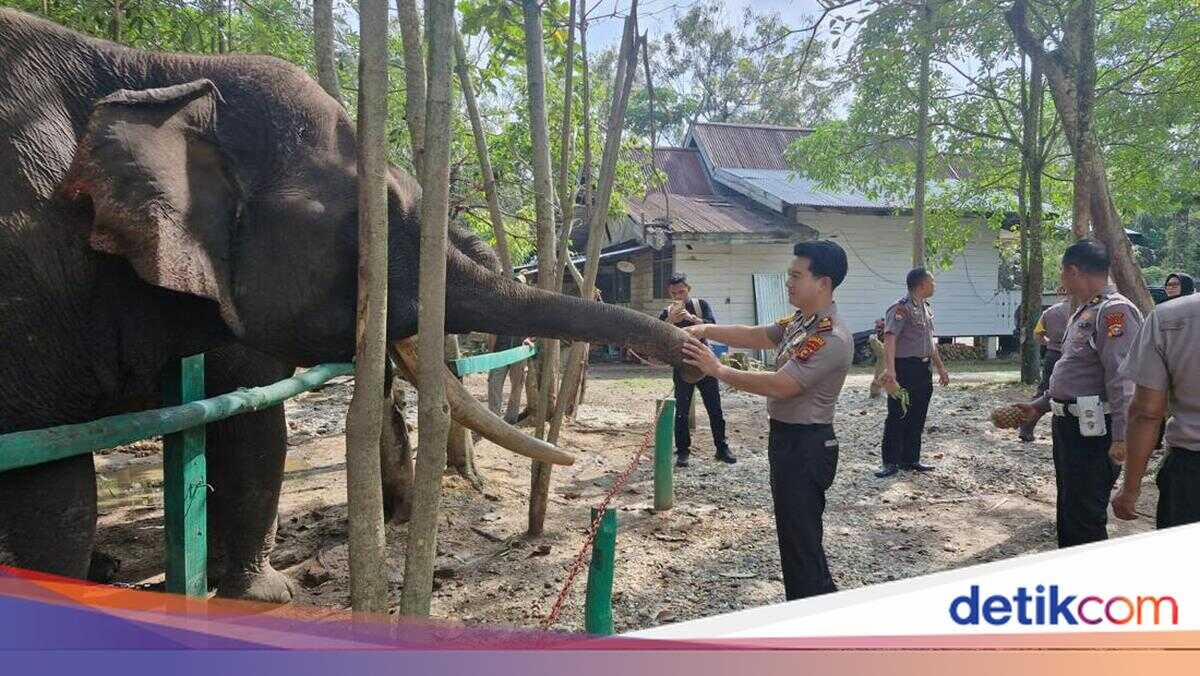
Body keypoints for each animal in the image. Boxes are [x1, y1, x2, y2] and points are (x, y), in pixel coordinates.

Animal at [0, 9, 697, 603]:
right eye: (379, 215)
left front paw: (258, 591)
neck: (158, 67)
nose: (692, 346)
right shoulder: (26, 271)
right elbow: (54, 482)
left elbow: (246, 417)